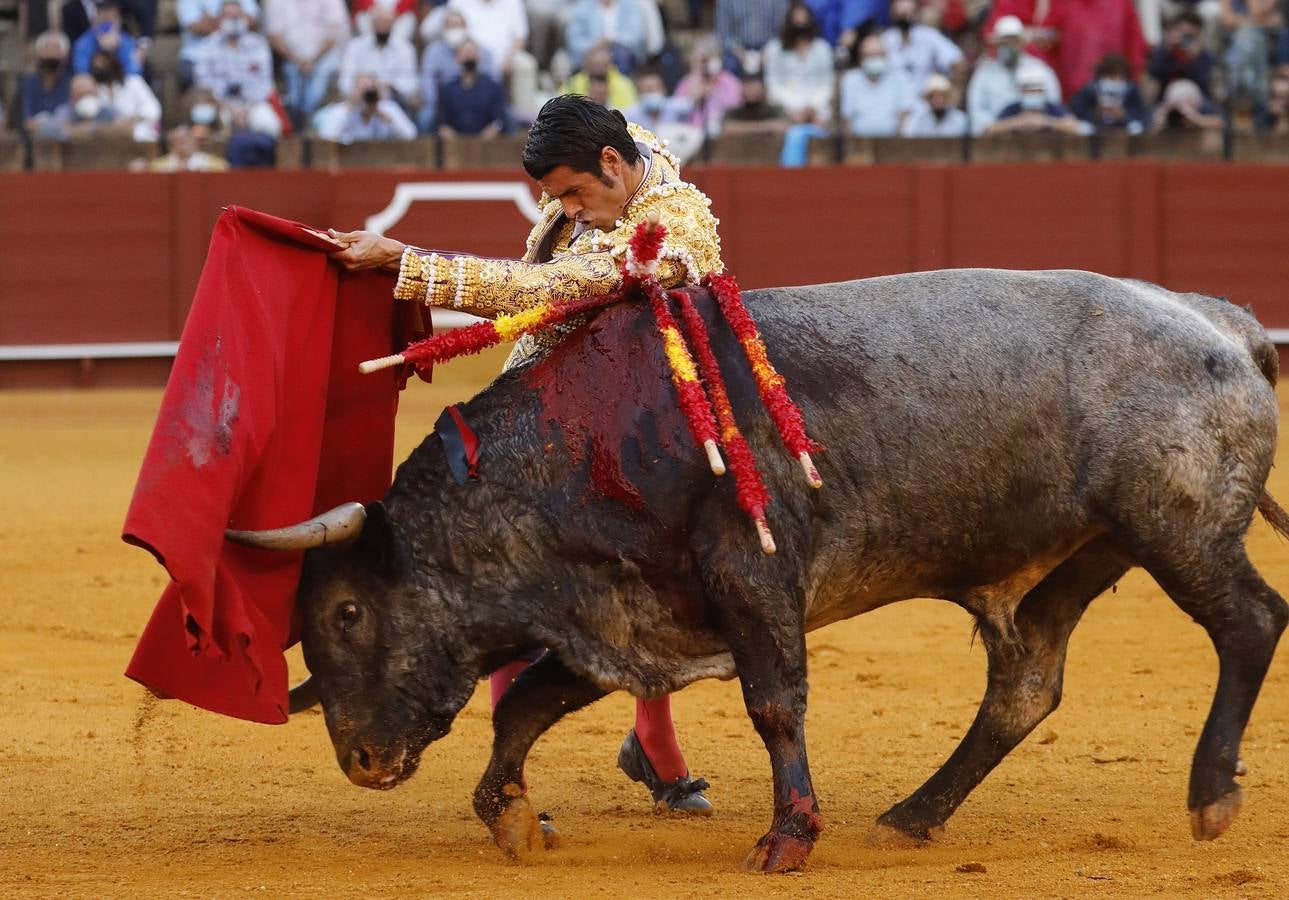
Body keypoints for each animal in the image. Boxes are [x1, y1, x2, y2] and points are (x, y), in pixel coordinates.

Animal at [229, 268, 1289, 871]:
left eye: (347, 614)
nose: (360, 761)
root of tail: (1222, 322)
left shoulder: (748, 576)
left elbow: (774, 703)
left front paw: (785, 839)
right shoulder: (623, 608)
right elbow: (529, 700)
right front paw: (509, 816)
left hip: (1176, 527)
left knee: (1249, 621)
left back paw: (1210, 795)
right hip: (1080, 554)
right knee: (1025, 682)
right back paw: (912, 815)